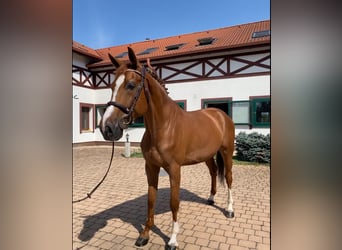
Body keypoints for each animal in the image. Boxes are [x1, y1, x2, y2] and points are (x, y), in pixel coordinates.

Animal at [99, 47, 235, 248]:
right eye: (111, 86)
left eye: (130, 85)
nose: (107, 128)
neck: (164, 126)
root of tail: (220, 115)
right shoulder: (151, 167)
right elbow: (151, 200)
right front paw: (144, 235)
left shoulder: (174, 169)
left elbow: (174, 202)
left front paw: (172, 240)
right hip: (207, 156)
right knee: (213, 172)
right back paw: (210, 199)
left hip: (227, 152)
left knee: (228, 177)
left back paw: (230, 209)